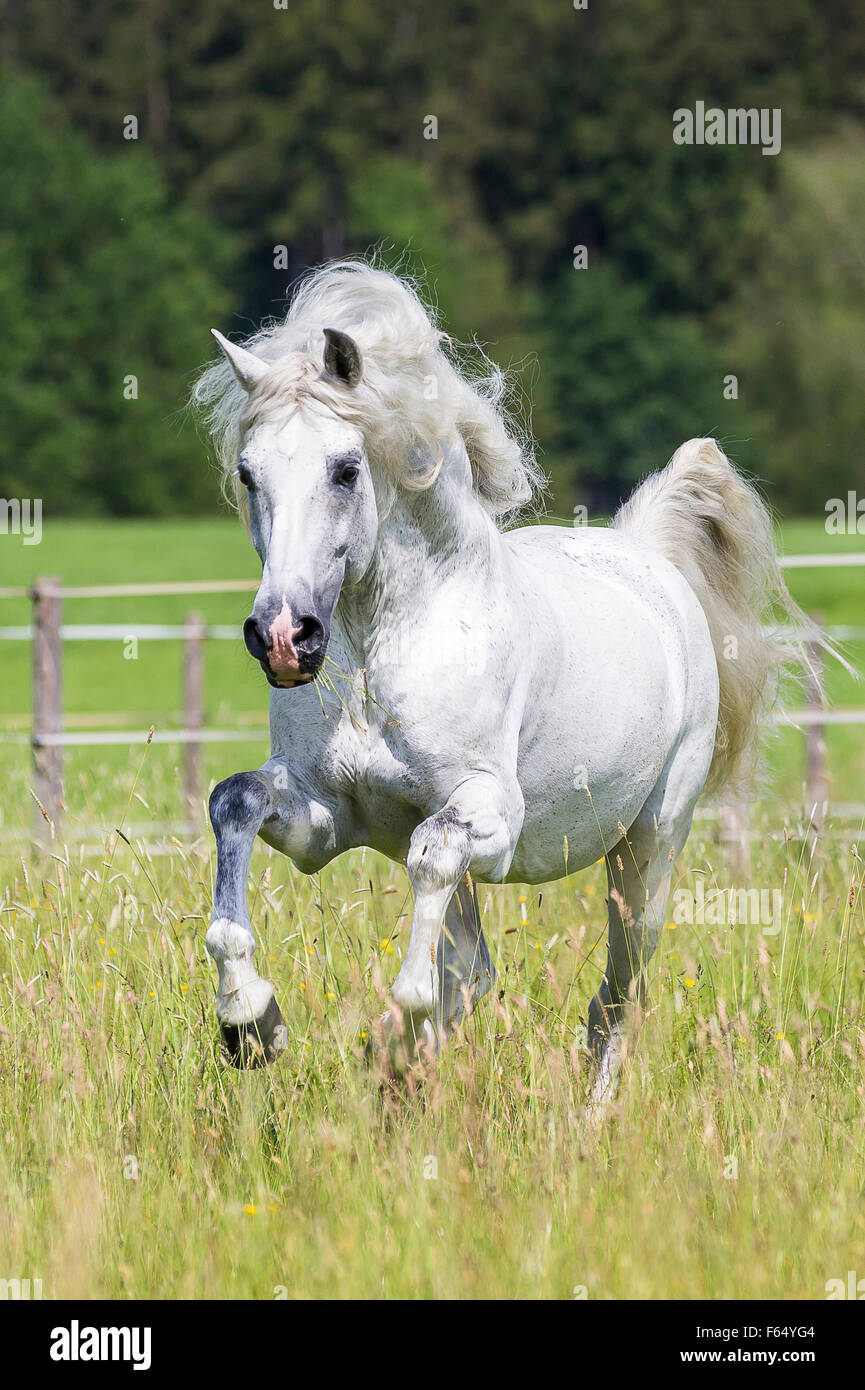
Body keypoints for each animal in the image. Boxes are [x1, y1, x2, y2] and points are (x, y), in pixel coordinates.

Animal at [194, 261, 806, 1106]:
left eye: (345, 469)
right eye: (247, 473)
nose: (284, 636)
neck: (388, 647)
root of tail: (647, 556)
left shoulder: (490, 815)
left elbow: (431, 889)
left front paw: (395, 1036)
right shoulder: (324, 818)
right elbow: (235, 803)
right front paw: (250, 1022)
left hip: (650, 845)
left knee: (617, 993)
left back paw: (585, 1116)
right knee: (477, 967)